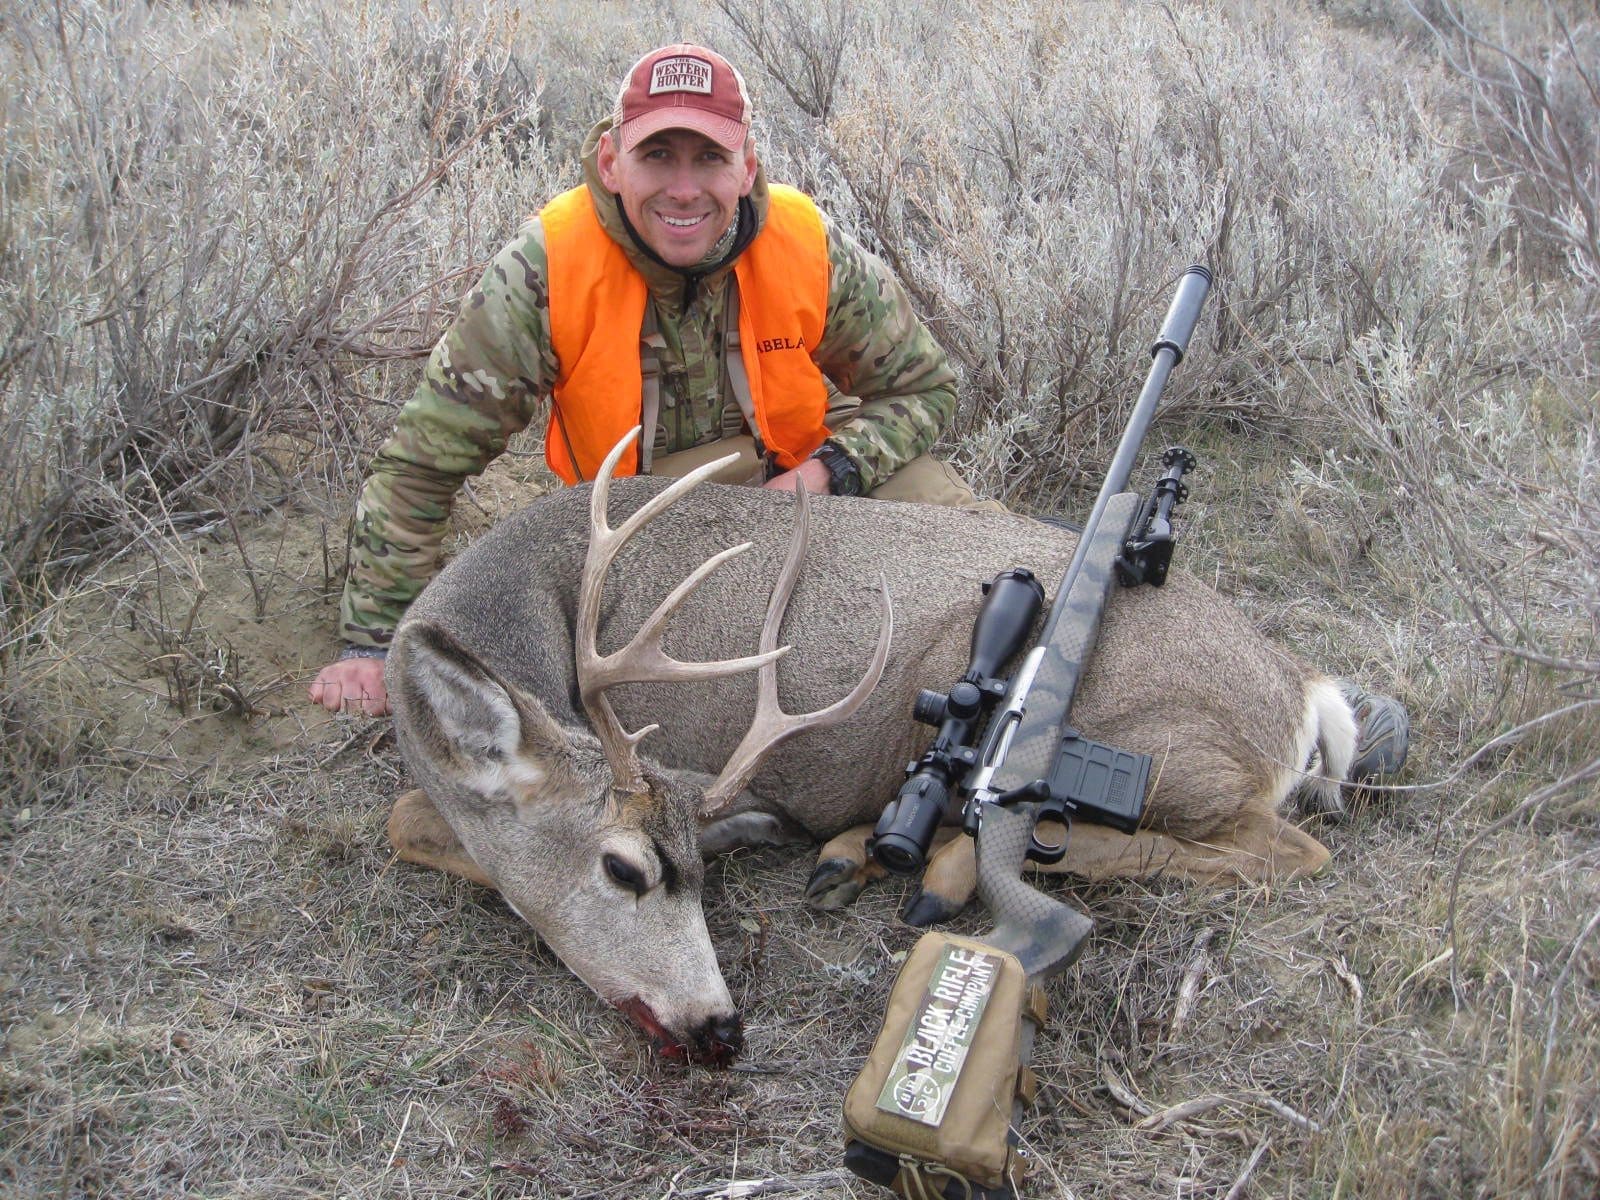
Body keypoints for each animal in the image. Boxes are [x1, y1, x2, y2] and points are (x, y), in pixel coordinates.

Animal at [383, 429, 1354, 1065]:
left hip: (1157, 749)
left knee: (1281, 848)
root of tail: (1302, 687)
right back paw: (852, 856)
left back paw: (940, 867)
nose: (722, 1028)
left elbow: (410, 819)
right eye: (625, 868)